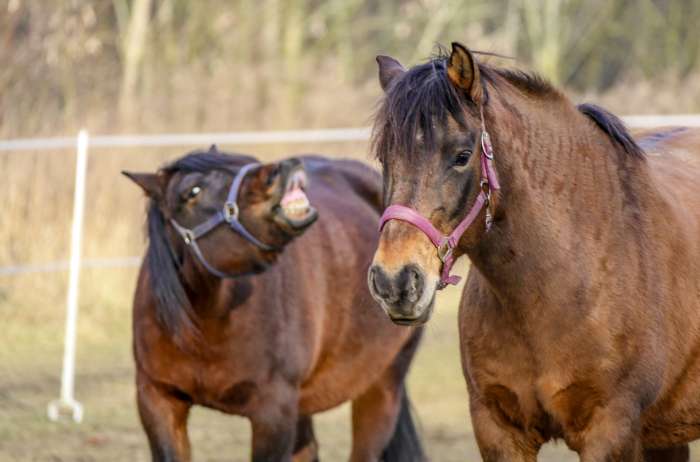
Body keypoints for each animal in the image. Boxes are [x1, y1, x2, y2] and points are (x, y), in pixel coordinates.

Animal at [123, 149, 424, 462]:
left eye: (242, 161)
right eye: (192, 191)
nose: (284, 169)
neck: (203, 324)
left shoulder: (274, 413)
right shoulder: (157, 401)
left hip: (381, 386)